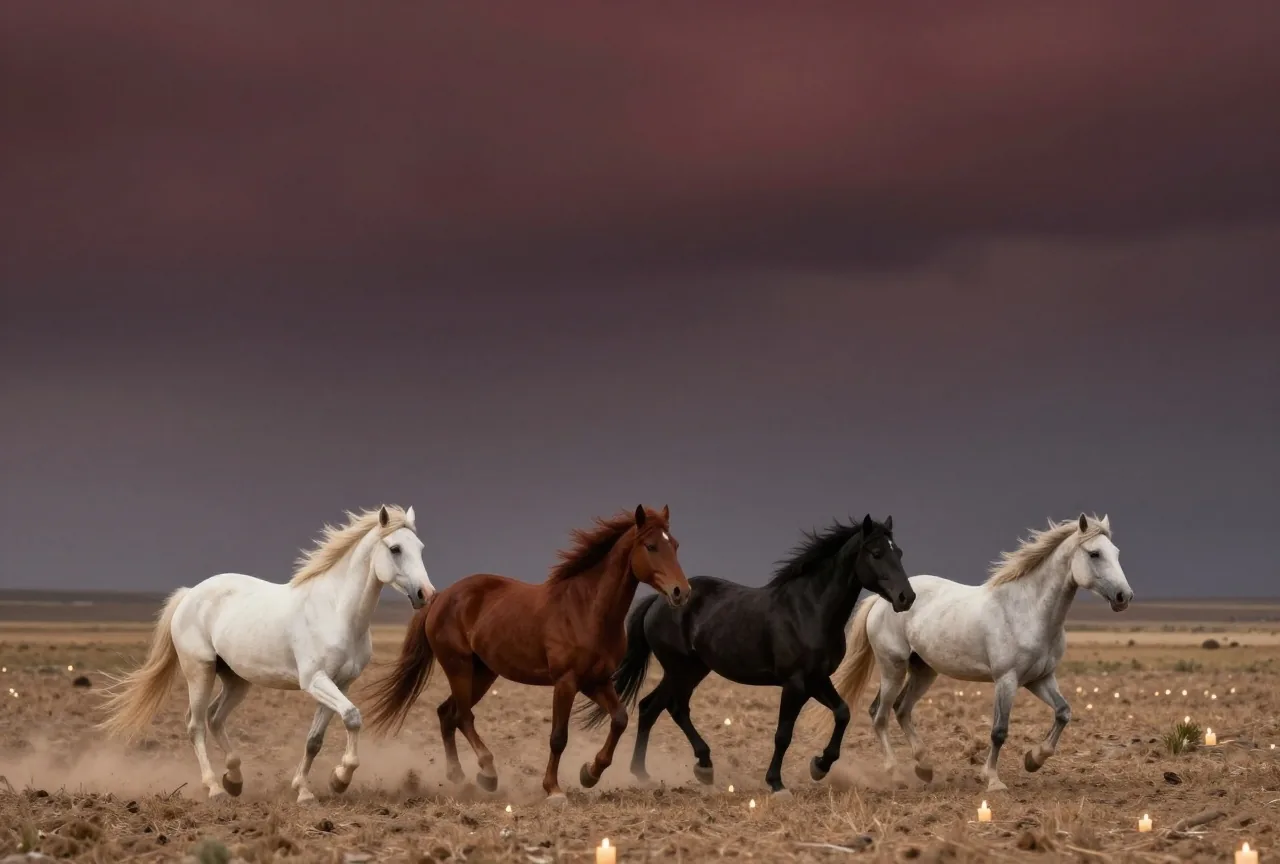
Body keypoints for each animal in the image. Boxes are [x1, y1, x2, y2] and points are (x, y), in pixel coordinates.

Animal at [100, 505, 434, 803]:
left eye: (420, 547)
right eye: (395, 549)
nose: (426, 595)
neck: (337, 611)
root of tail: (189, 594)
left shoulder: (341, 683)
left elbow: (315, 740)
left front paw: (304, 790)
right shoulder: (315, 681)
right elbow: (352, 717)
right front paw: (340, 779)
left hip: (236, 680)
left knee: (215, 718)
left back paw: (234, 779)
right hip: (200, 671)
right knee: (195, 725)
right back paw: (215, 788)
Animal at [366, 505, 691, 803]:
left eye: (675, 545)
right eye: (651, 546)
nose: (681, 592)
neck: (588, 609)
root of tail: (441, 596)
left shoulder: (596, 681)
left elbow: (620, 719)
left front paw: (590, 773)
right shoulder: (566, 682)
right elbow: (558, 737)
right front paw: (554, 789)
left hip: (483, 673)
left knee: (448, 714)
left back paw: (459, 775)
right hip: (458, 667)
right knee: (463, 717)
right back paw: (488, 773)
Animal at [579, 514, 915, 795]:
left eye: (898, 553)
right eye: (876, 553)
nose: (906, 597)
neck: (809, 609)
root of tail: (659, 601)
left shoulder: (817, 680)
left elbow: (843, 712)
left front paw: (819, 766)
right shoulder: (795, 683)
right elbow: (783, 734)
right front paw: (777, 784)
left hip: (694, 669)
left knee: (654, 707)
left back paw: (658, 772)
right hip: (679, 669)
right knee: (668, 707)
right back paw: (692, 768)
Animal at [829, 513, 1132, 792]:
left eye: (1116, 552)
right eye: (1094, 553)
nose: (1124, 597)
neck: (1029, 610)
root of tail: (882, 600)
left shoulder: (1040, 679)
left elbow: (1063, 712)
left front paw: (1033, 759)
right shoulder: (1006, 680)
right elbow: (999, 731)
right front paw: (993, 780)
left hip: (923, 671)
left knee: (901, 709)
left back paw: (924, 766)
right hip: (893, 667)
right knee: (880, 715)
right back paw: (895, 773)